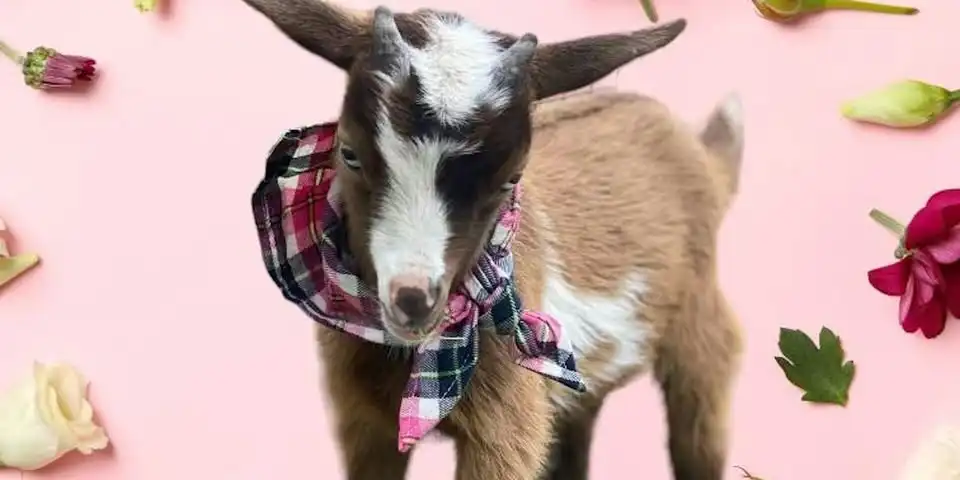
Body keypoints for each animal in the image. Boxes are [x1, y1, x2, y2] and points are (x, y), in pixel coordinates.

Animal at [243, 2, 745, 479]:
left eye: (511, 179)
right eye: (349, 153)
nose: (413, 300)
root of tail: (704, 155)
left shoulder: (507, 423)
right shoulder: (361, 418)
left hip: (700, 331)